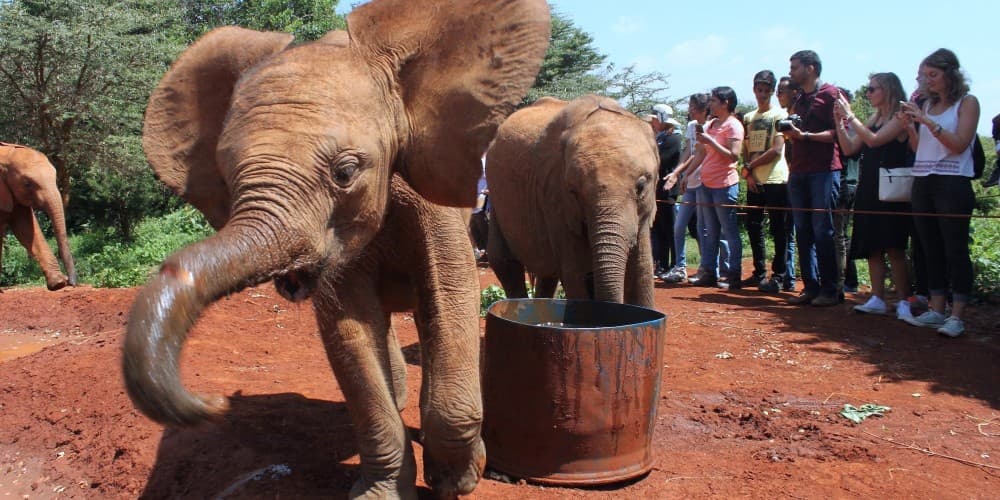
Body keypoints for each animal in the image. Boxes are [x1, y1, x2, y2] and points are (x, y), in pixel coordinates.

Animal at [121, 0, 549, 498]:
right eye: (226, 179)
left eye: (345, 172)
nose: (214, 403)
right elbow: (349, 326)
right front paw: (381, 493)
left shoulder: (434, 195)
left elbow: (449, 290)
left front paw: (458, 481)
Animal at [486, 95, 658, 308]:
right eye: (574, 192)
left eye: (641, 186)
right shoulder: (554, 198)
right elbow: (574, 273)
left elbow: (642, 272)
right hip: (495, 198)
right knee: (504, 262)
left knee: (548, 274)